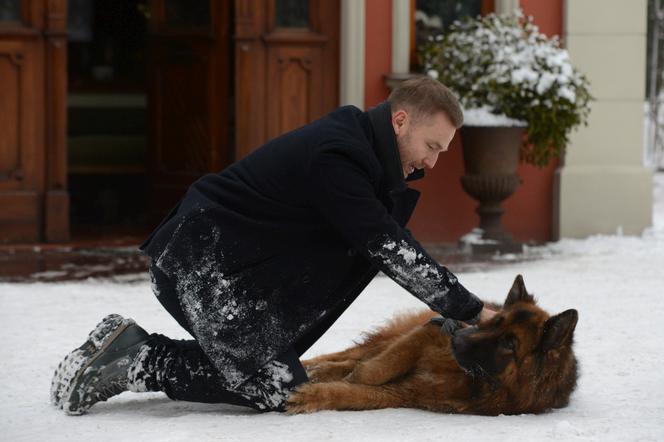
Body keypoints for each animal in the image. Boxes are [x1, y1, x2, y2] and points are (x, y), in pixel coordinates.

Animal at [288, 274, 580, 416]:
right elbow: (374, 369)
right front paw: (341, 379)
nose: (456, 335)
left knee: (351, 359)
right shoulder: (424, 335)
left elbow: (356, 391)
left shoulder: (407, 392)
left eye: (509, 343)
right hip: (394, 336)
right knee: (352, 355)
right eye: (493, 322)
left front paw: (317, 393)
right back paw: (311, 367)